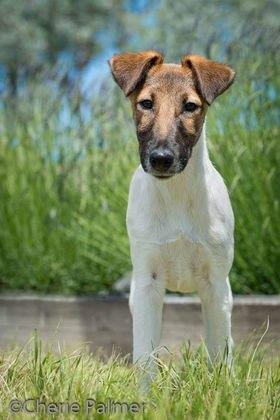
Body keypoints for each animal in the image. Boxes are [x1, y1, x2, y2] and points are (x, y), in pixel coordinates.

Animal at [108, 50, 235, 378]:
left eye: (190, 106)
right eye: (146, 103)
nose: (161, 159)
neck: (176, 195)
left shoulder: (216, 284)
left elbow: (219, 354)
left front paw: (220, 388)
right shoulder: (148, 283)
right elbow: (144, 357)